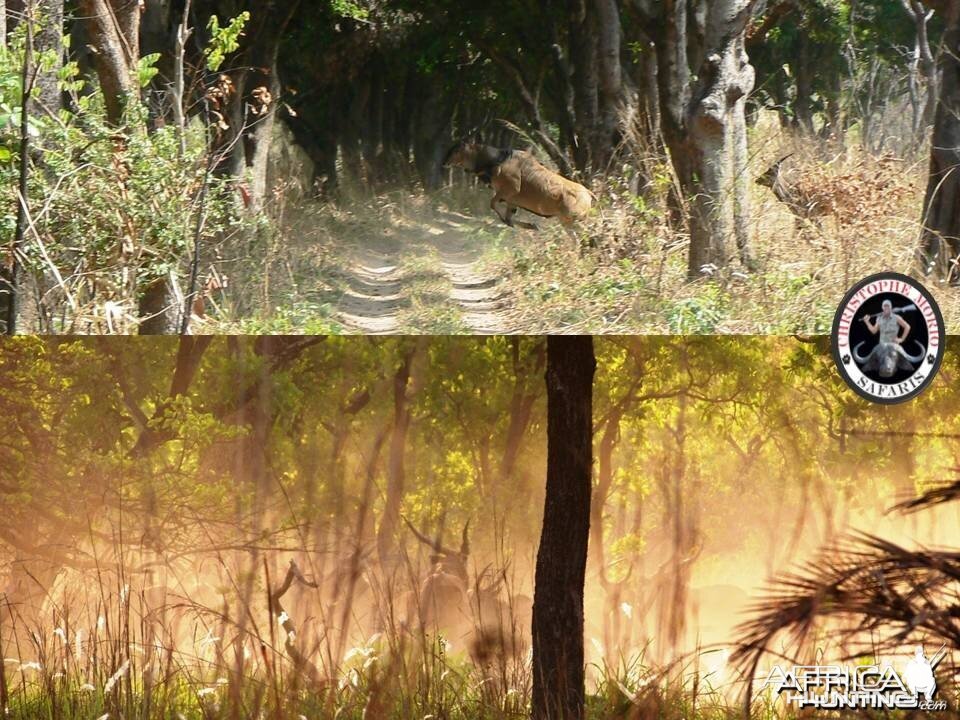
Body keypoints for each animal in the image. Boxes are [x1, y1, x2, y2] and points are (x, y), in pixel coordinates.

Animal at [442, 139, 592, 229]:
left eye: (457, 150)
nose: (445, 162)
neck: (500, 159)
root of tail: (588, 194)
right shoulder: (511, 201)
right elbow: (508, 217)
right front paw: (530, 225)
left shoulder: (509, 190)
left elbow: (493, 205)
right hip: (566, 222)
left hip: (576, 221)